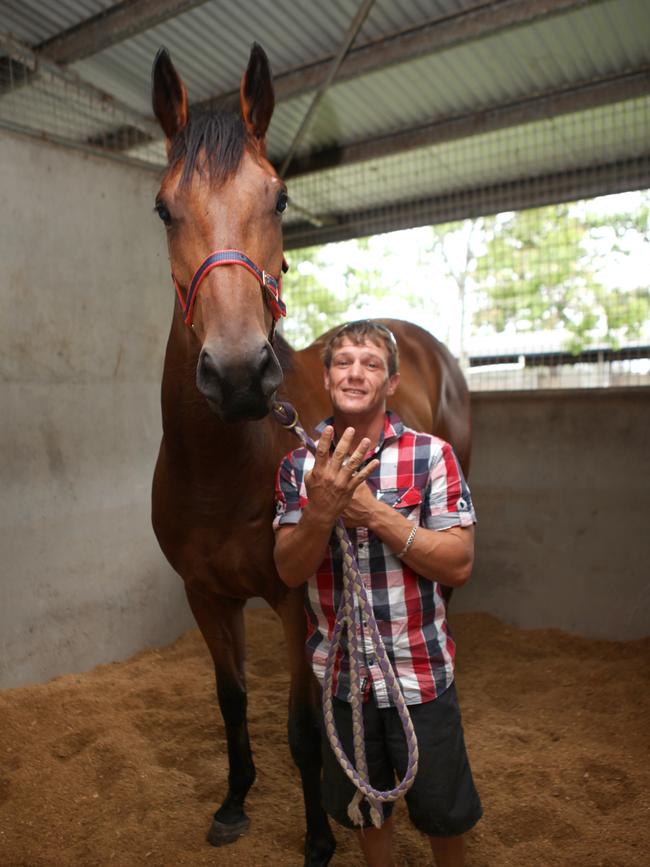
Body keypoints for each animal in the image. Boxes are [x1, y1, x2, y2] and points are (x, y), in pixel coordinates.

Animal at [149, 42, 468, 867]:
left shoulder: (296, 599)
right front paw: (233, 802)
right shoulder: (204, 595)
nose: (236, 374)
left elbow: (302, 725)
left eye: (282, 199)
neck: (220, 469)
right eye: (163, 207)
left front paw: (319, 838)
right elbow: (231, 700)